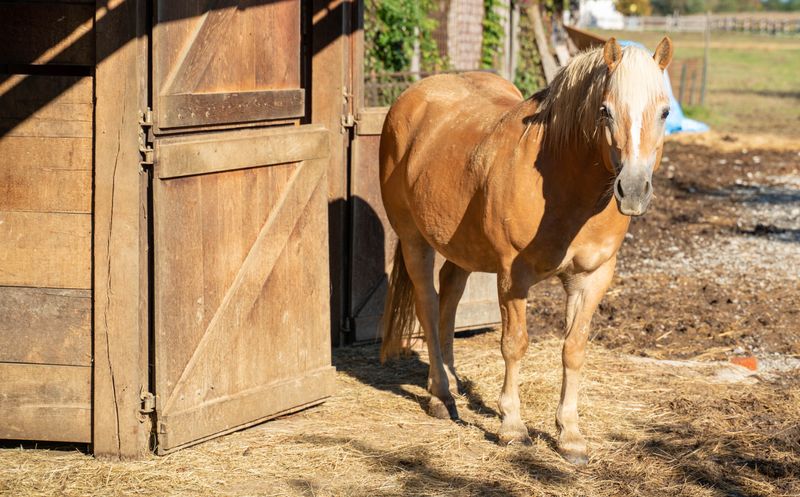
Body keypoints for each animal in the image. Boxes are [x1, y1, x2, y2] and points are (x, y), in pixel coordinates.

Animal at [378, 36, 673, 465]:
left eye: (665, 111)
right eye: (605, 110)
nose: (632, 190)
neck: (564, 184)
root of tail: (411, 98)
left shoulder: (592, 278)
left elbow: (574, 349)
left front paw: (570, 435)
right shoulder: (513, 277)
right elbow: (514, 345)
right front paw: (513, 427)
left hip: (460, 245)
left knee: (450, 295)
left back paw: (449, 378)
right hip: (415, 239)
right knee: (429, 306)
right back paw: (441, 395)